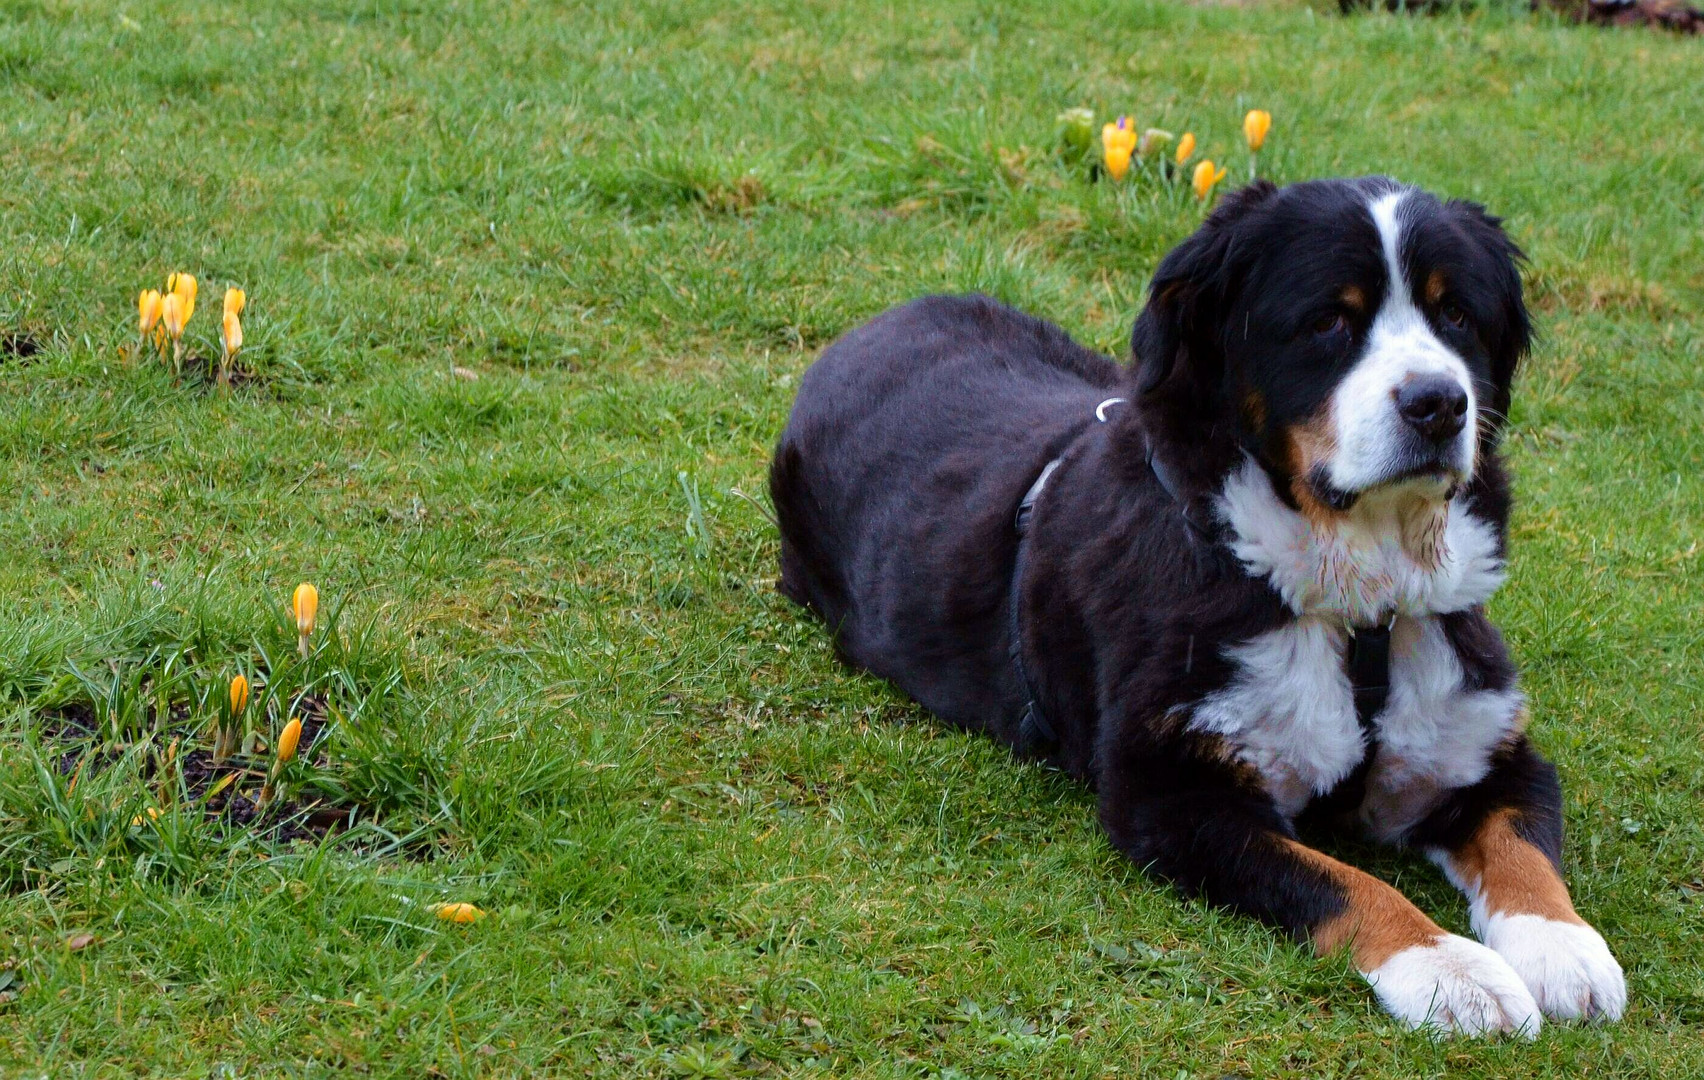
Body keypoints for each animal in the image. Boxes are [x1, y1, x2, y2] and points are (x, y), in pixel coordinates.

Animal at [770, 178, 1622, 1035]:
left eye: (1457, 316)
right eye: (1328, 321)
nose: (1439, 403)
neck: (1360, 611)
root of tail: (869, 328)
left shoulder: (1483, 748)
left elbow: (1523, 848)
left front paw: (1568, 951)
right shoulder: (1172, 795)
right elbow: (1344, 883)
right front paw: (1451, 972)